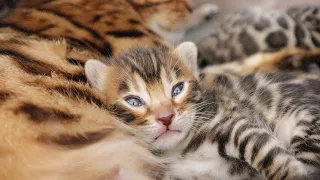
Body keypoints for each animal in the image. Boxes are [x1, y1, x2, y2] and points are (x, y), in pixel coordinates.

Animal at [85, 41, 320, 179]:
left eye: (178, 89)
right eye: (134, 101)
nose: (166, 118)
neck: (177, 152)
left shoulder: (233, 122)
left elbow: (265, 152)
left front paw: (291, 174)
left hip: (308, 126)